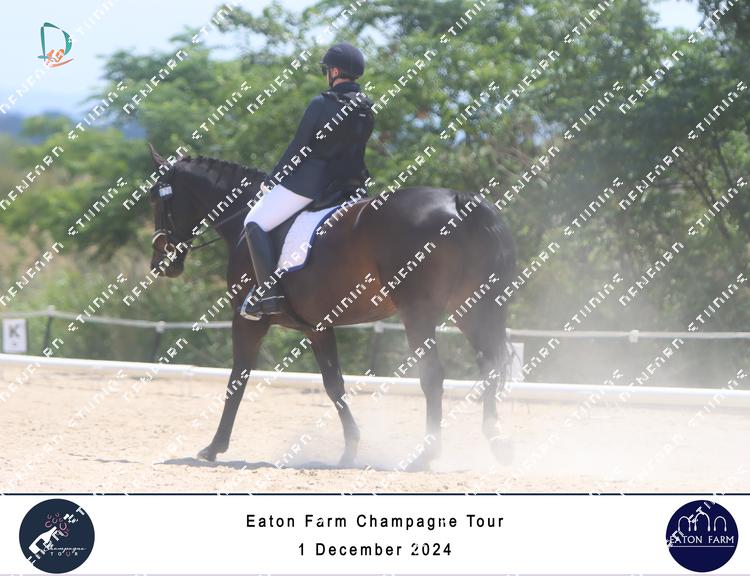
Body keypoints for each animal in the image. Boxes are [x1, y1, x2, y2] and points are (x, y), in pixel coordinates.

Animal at [146, 145, 517, 469]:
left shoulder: (248, 321)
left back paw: (425, 455)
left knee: (434, 375)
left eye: (157, 199)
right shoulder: (317, 327)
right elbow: (333, 384)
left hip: (419, 312)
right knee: (489, 365)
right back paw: (497, 443)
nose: (160, 263)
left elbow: (237, 378)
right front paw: (350, 449)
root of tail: (458, 200)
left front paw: (214, 447)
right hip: (472, 307)